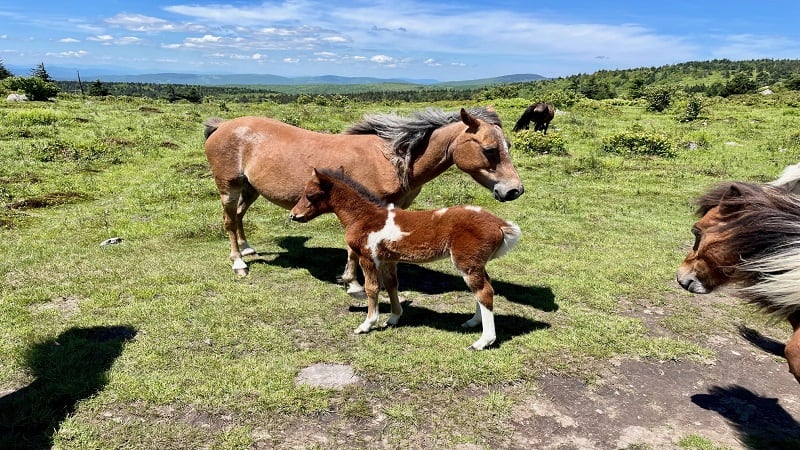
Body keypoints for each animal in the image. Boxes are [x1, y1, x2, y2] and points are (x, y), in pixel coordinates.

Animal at [203, 107, 520, 290]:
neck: (392, 159)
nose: (514, 190)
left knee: (239, 217)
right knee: (229, 221)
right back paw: (239, 263)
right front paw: (352, 281)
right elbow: (354, 250)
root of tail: (222, 125)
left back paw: (247, 249)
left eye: (508, 145)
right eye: (490, 150)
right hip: (228, 187)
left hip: (250, 188)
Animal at [290, 169, 520, 352]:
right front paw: (393, 318)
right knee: (484, 289)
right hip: (476, 264)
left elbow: (372, 288)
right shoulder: (389, 260)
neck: (364, 217)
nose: (293, 215)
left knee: (484, 292)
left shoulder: (368, 257)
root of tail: (500, 224)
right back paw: (472, 322)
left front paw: (367, 324)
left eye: (310, 195)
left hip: (467, 263)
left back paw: (483, 341)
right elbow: (392, 285)